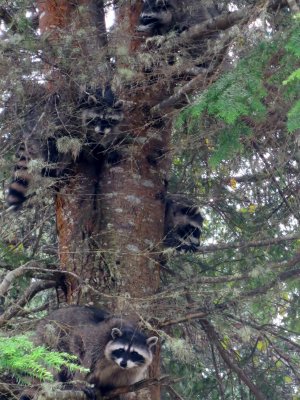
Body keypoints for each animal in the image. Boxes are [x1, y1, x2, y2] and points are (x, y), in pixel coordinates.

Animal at [19, 306, 158, 400]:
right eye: (121, 350)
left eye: (134, 353)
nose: (123, 363)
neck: (114, 364)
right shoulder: (96, 345)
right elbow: (85, 365)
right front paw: (79, 384)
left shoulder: (132, 370)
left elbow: (124, 381)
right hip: (52, 338)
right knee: (65, 360)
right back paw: (65, 384)